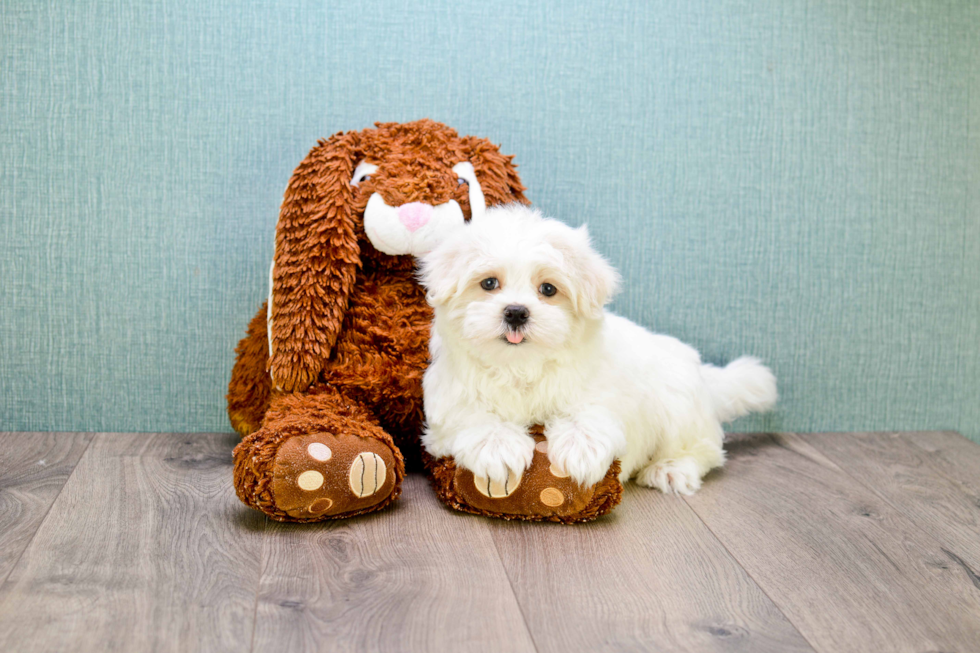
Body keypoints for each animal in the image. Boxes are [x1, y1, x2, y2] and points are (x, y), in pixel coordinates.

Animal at [418, 204, 776, 494]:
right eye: (489, 283)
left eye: (548, 289)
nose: (516, 312)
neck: (521, 365)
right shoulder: (448, 400)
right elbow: (472, 416)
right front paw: (498, 446)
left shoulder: (605, 388)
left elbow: (591, 411)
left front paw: (580, 449)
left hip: (679, 402)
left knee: (704, 450)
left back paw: (671, 469)